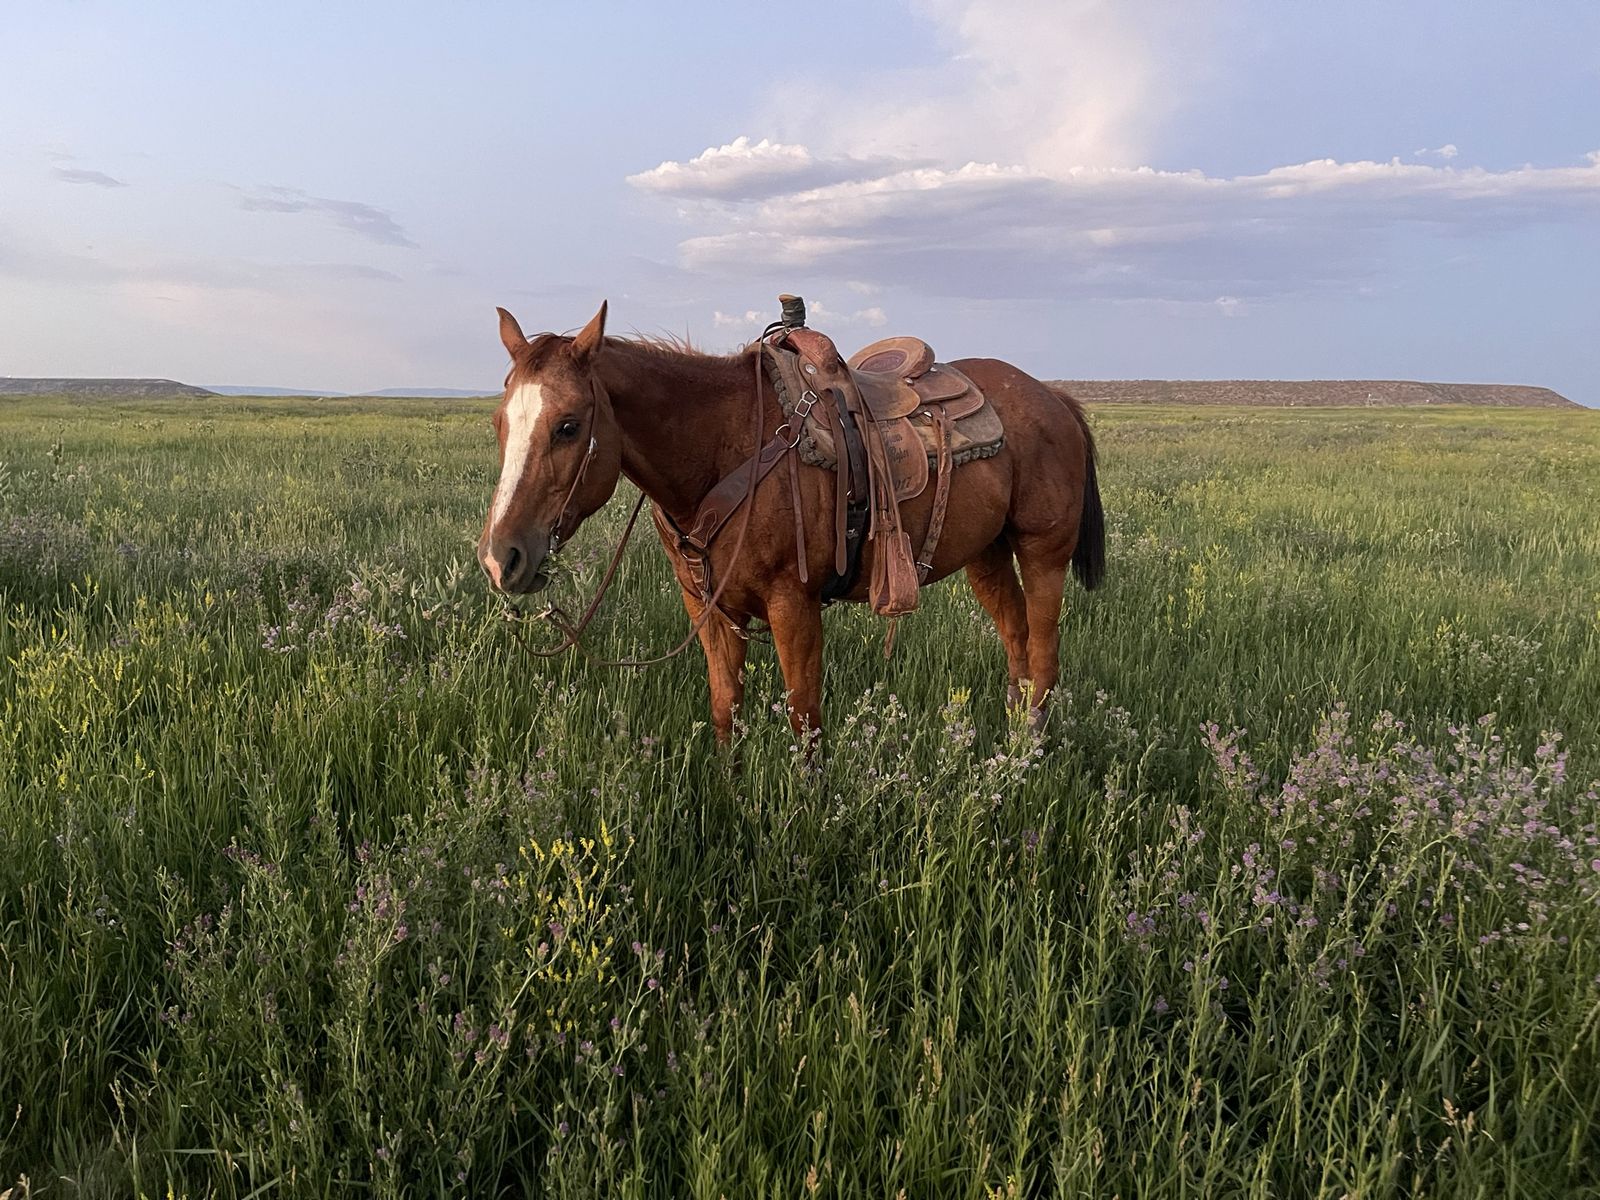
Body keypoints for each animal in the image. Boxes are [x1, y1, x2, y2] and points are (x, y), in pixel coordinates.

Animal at [477, 301, 1104, 745]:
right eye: (499, 421)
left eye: (568, 425)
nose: (500, 558)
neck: (725, 445)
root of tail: (1055, 400)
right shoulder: (707, 605)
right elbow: (726, 709)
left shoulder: (792, 603)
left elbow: (805, 720)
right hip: (987, 555)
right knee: (1017, 646)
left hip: (1044, 553)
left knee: (1044, 657)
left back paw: (1027, 760)